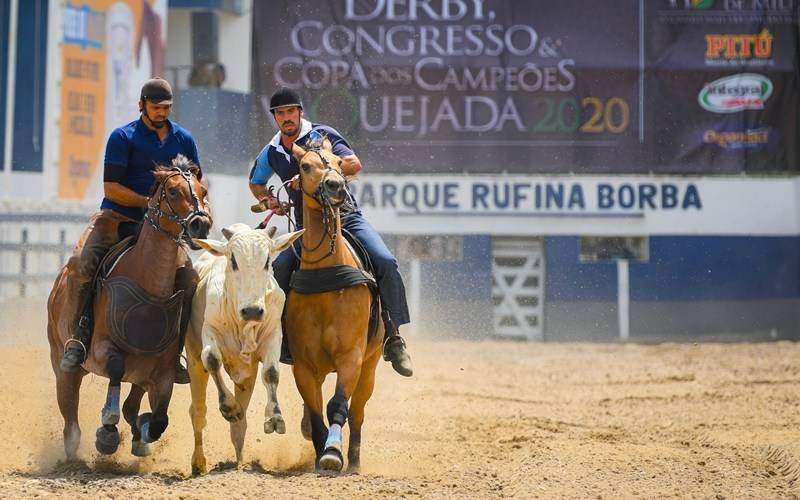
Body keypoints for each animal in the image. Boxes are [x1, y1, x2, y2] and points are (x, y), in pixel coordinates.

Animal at [185, 222, 304, 475]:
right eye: (233, 260)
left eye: (267, 260)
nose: (252, 311)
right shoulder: (209, 332)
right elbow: (212, 359)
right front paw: (228, 407)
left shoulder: (272, 335)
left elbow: (271, 373)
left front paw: (275, 418)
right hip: (193, 360)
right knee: (198, 412)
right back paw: (199, 462)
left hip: (245, 378)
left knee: (240, 426)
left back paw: (239, 462)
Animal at [285, 138, 385, 473]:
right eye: (304, 166)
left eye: (340, 163)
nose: (335, 186)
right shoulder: (303, 364)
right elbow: (316, 413)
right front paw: (320, 453)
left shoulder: (350, 356)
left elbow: (337, 405)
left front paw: (332, 453)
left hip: (370, 365)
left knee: (358, 413)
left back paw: (353, 460)